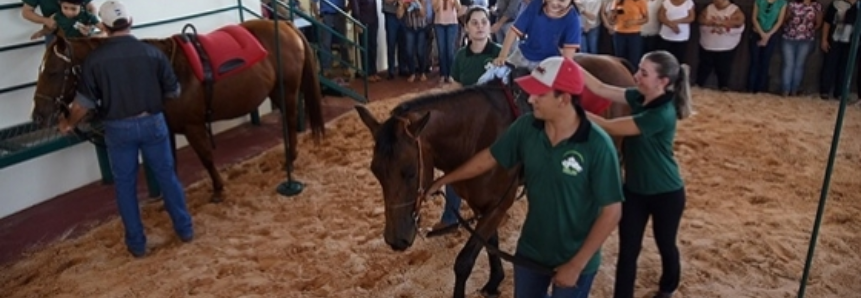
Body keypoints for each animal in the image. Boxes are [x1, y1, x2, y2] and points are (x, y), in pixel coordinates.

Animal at [31, 18, 326, 201]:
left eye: (54, 71)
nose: (38, 116)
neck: (165, 73)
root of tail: (286, 25)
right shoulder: (167, 130)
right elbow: (168, 164)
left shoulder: (193, 126)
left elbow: (205, 156)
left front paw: (218, 190)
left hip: (287, 90)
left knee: (290, 121)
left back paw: (290, 159)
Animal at [354, 53, 632, 298]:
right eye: (375, 171)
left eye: (410, 172)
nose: (395, 240)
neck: (476, 135)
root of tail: (615, 61)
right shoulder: (483, 205)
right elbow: (491, 246)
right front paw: (494, 281)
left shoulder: (499, 205)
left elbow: (464, 261)